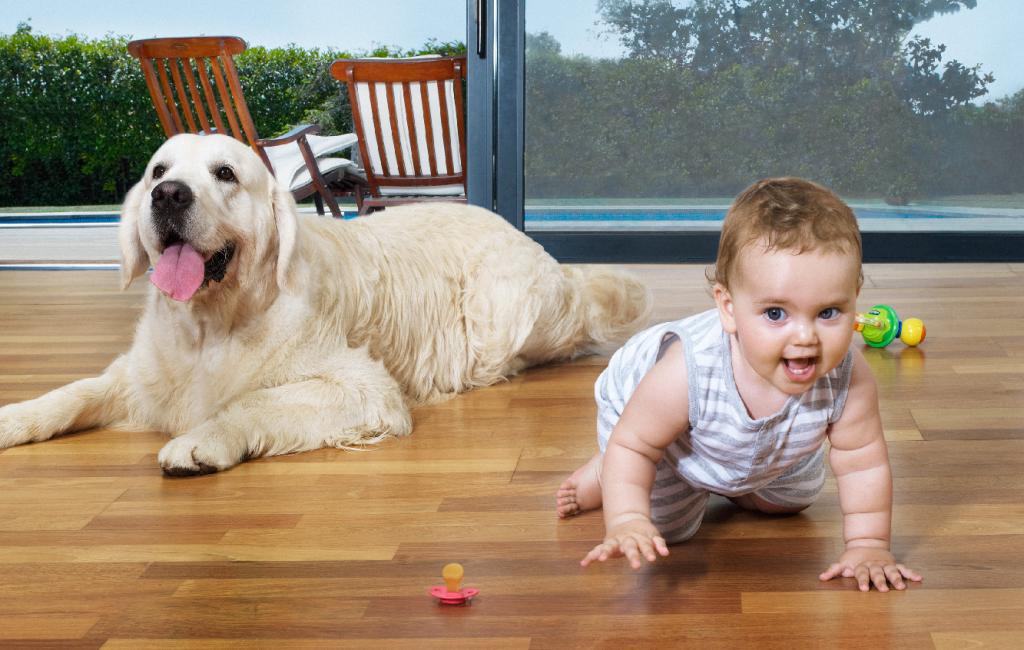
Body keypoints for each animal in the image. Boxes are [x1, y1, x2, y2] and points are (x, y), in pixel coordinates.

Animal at [0, 135, 647, 474]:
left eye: (225, 173)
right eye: (159, 170)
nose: (168, 195)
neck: (212, 324)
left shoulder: (364, 389)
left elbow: (254, 401)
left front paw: (204, 439)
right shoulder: (139, 376)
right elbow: (74, 392)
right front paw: (15, 417)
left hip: (502, 313)